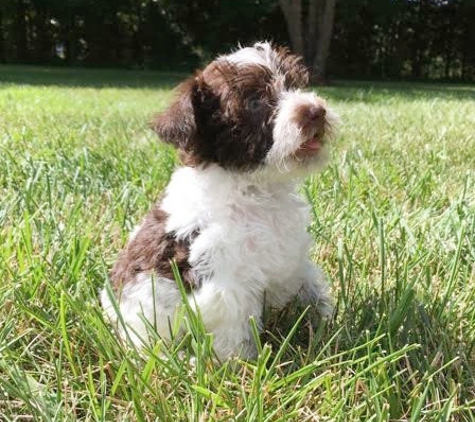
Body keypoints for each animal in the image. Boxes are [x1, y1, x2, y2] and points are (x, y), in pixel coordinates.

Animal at [101, 42, 338, 360]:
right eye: (254, 102)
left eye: (294, 85)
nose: (316, 111)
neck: (255, 188)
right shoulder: (225, 282)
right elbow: (235, 332)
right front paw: (240, 366)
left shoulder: (294, 259)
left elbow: (312, 289)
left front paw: (327, 324)